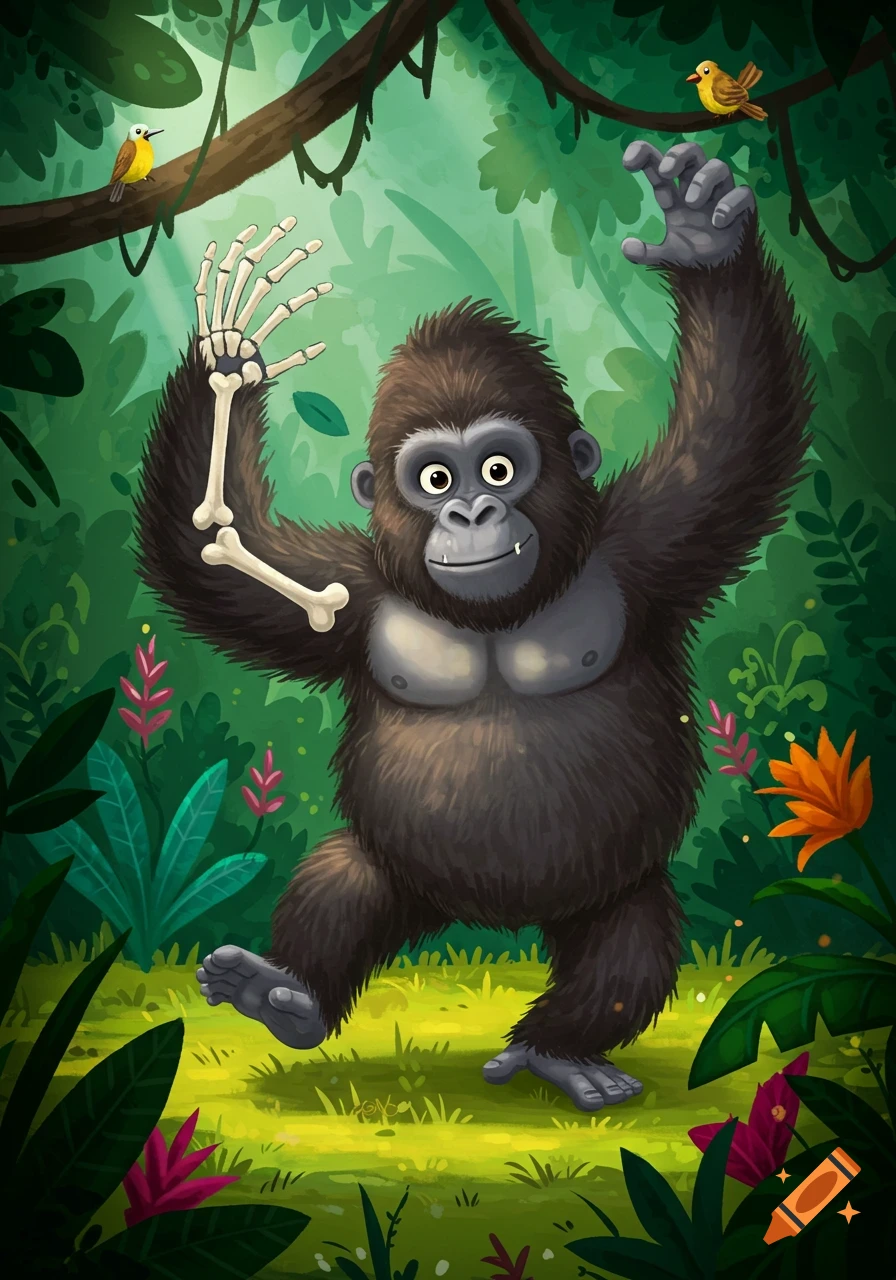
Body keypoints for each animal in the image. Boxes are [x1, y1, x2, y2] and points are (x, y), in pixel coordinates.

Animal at [135, 141, 812, 1112]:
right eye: (434, 479)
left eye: (498, 465)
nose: (471, 513)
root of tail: (489, 920)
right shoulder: (346, 588)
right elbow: (208, 561)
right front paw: (228, 355)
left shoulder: (653, 541)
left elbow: (732, 433)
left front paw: (703, 235)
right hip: (404, 872)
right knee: (348, 880)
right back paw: (287, 994)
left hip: (607, 895)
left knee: (628, 951)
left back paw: (559, 1050)